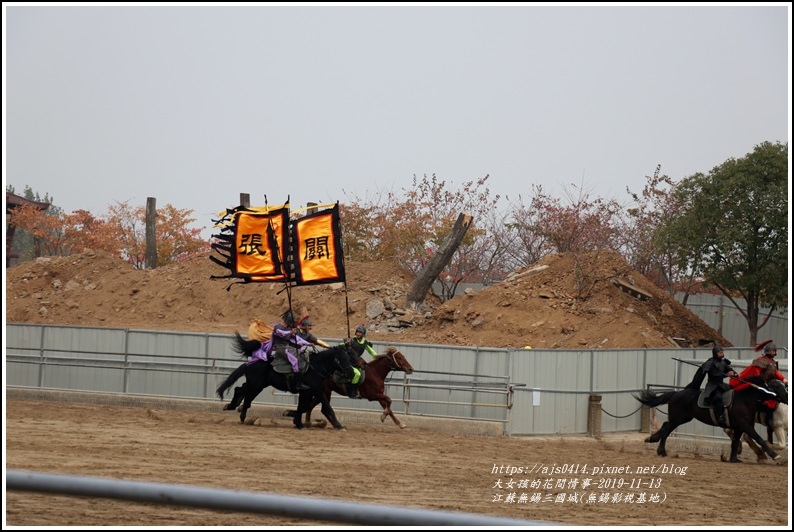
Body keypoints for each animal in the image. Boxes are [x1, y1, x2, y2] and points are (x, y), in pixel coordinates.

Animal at [217, 332, 352, 432]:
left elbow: (303, 407)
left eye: (348, 357)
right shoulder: (316, 391)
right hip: (256, 385)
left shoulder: (309, 392)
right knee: (243, 394)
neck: (315, 367)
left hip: (257, 385)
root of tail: (251, 362)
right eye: (342, 358)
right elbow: (326, 407)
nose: (351, 371)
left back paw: (236, 410)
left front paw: (296, 420)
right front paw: (339, 426)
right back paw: (238, 412)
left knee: (242, 392)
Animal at [632, 376, 784, 464]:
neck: (744, 400)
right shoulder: (745, 425)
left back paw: (652, 439)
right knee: (666, 430)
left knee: (665, 425)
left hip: (683, 418)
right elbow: (759, 439)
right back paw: (662, 451)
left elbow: (735, 442)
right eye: (777, 386)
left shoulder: (739, 427)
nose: (786, 397)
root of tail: (675, 393)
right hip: (678, 419)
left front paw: (734, 459)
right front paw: (775, 455)